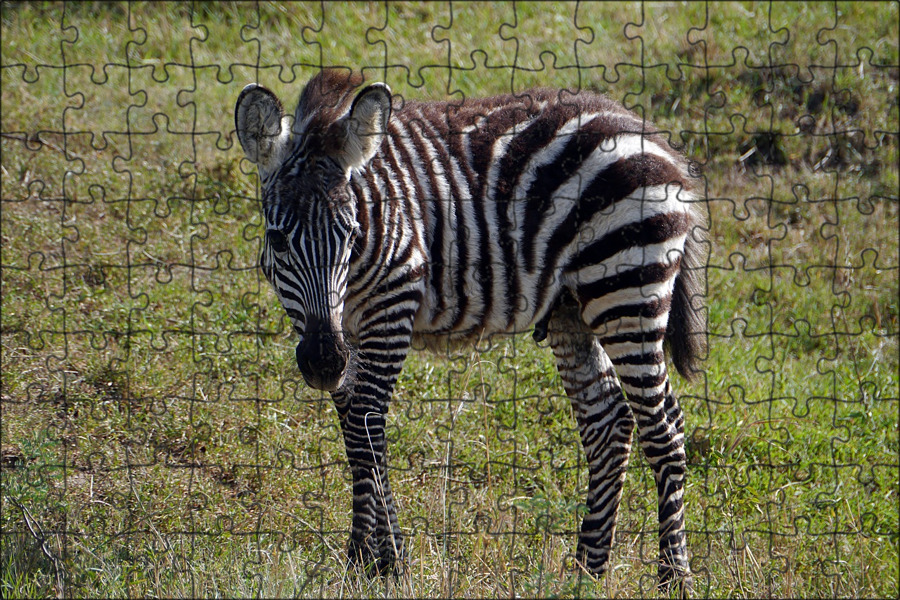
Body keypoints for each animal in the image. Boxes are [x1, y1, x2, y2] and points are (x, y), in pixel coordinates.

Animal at [236, 68, 708, 588]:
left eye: (350, 234)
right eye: (277, 239)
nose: (322, 363)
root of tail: (650, 134)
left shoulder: (393, 303)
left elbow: (366, 425)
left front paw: (376, 560)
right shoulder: (345, 329)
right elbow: (354, 431)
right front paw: (374, 557)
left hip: (628, 287)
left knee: (662, 427)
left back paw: (674, 576)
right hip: (572, 307)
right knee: (609, 422)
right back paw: (587, 571)